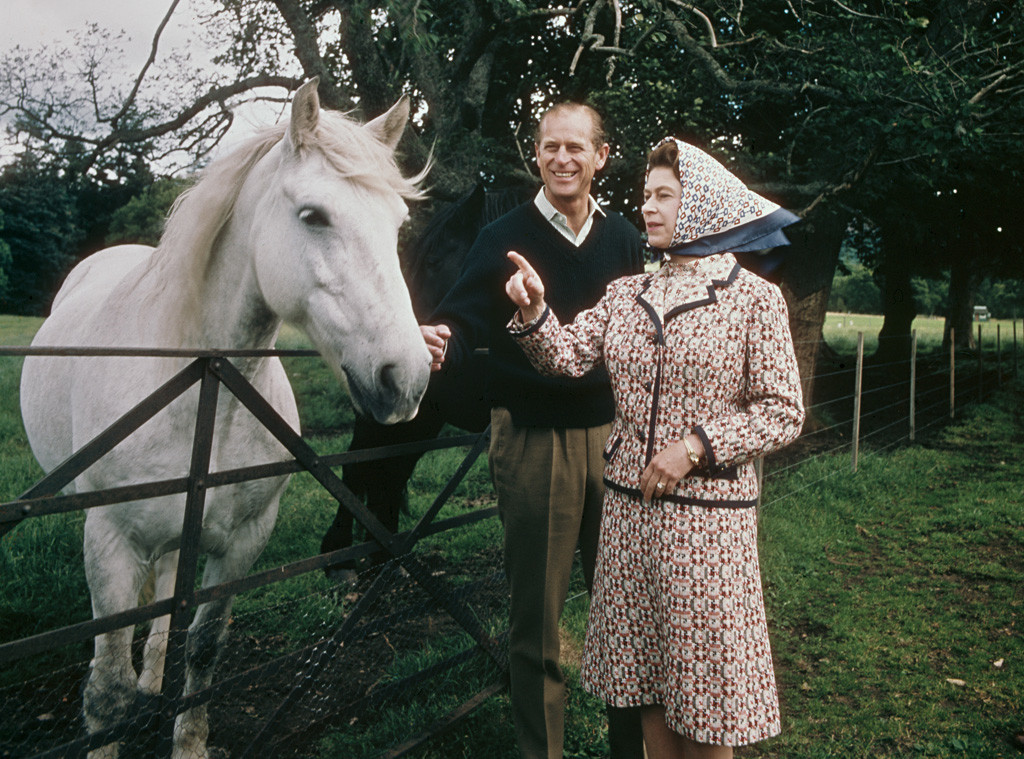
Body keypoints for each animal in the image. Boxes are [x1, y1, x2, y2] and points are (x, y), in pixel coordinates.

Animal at [20, 78, 428, 757]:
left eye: (398, 224)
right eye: (313, 216)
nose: (409, 378)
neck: (206, 390)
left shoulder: (243, 543)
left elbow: (205, 653)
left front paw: (187, 738)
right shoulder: (109, 543)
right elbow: (106, 687)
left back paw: (153, 678)